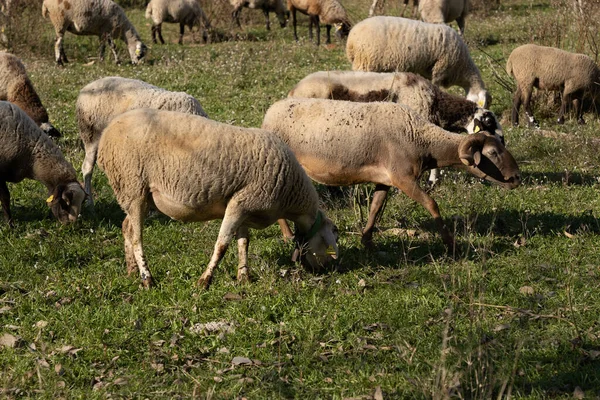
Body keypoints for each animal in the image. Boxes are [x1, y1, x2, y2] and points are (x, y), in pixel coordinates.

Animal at [96, 108, 340, 290]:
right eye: (329, 241)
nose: (325, 271)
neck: (290, 193)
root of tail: (109, 129)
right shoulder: (241, 203)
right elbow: (222, 245)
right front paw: (204, 281)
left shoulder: (244, 206)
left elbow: (243, 242)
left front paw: (244, 277)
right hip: (132, 184)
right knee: (136, 236)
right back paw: (147, 278)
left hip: (135, 193)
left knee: (126, 226)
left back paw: (132, 271)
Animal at [262, 97, 520, 247]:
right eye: (493, 153)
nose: (516, 178)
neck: (420, 138)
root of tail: (269, 113)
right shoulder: (403, 178)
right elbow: (431, 204)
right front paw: (450, 243)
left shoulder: (385, 179)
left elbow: (375, 208)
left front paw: (366, 240)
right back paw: (288, 236)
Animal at [344, 16, 490, 108]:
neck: (463, 69)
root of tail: (351, 39)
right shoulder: (440, 69)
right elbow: (436, 86)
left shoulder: (429, 71)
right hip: (365, 62)